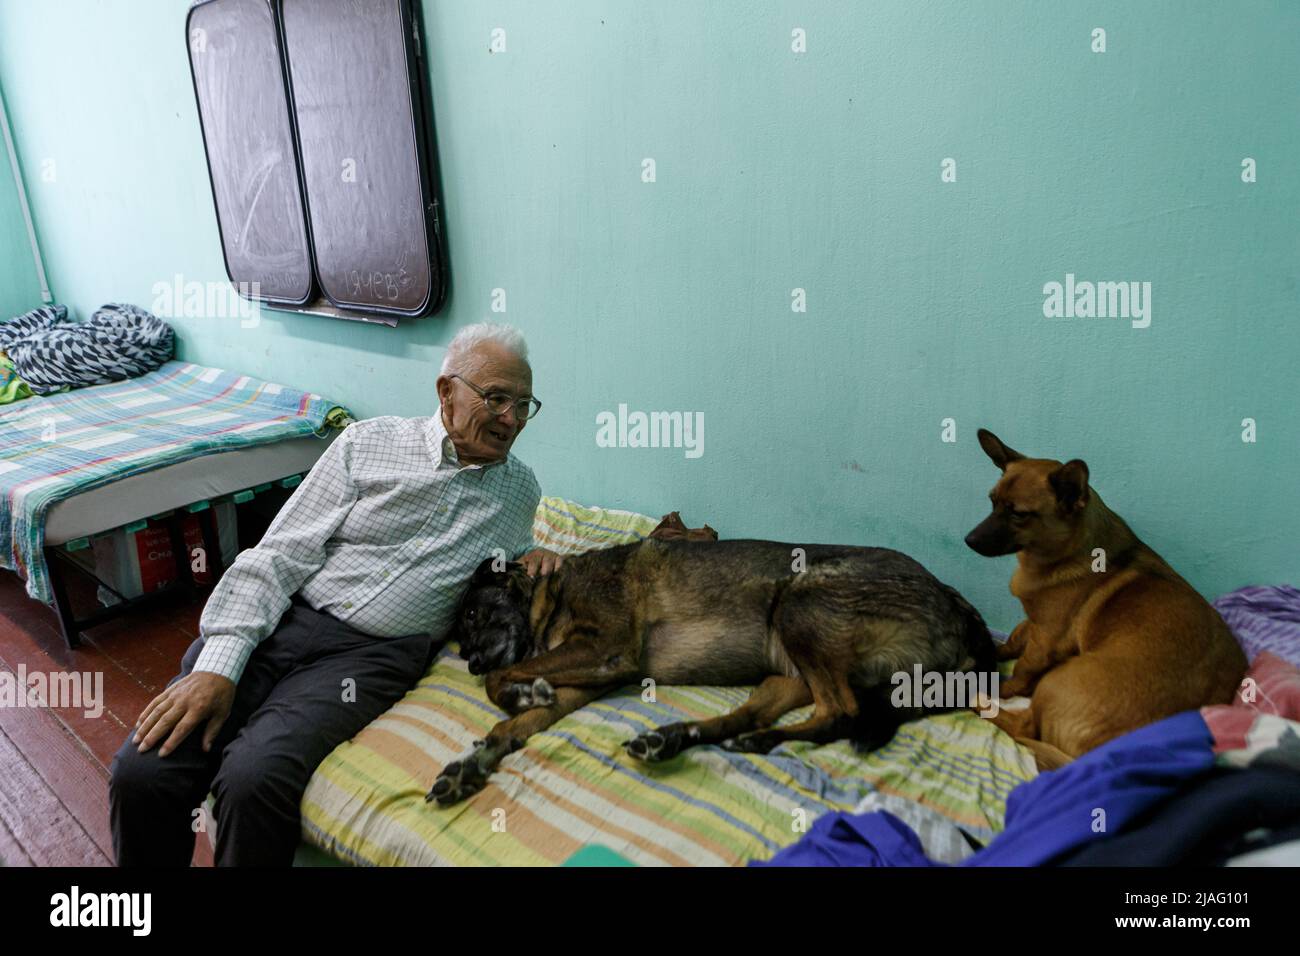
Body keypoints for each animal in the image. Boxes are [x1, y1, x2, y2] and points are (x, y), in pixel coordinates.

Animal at [426, 538, 993, 806]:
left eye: (473, 615)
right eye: (461, 637)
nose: (469, 660)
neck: (554, 594)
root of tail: (955, 601)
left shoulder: (607, 650)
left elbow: (501, 684)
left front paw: (513, 694)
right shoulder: (591, 675)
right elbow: (512, 725)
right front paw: (474, 763)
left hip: (799, 606)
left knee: (843, 712)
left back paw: (750, 743)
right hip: (785, 671)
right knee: (751, 716)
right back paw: (677, 738)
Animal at [967, 429, 1248, 775]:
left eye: (1019, 514)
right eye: (992, 502)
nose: (969, 540)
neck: (1064, 551)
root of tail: (1103, 756)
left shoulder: (1046, 639)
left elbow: (1021, 668)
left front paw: (1002, 685)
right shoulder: (1034, 622)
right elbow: (1016, 638)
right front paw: (993, 647)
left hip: (1055, 681)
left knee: (1024, 727)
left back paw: (980, 703)